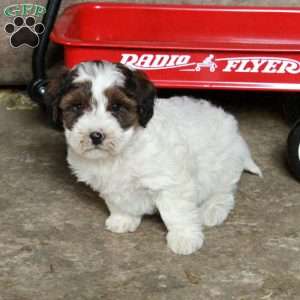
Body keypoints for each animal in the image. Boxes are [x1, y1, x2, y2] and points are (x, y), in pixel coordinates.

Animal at [46, 61, 260, 255]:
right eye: (77, 106)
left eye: (116, 107)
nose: (96, 135)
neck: (121, 150)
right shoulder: (110, 184)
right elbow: (118, 201)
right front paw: (123, 218)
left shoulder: (170, 181)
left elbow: (176, 211)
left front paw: (184, 237)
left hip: (220, 167)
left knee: (224, 193)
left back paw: (212, 210)